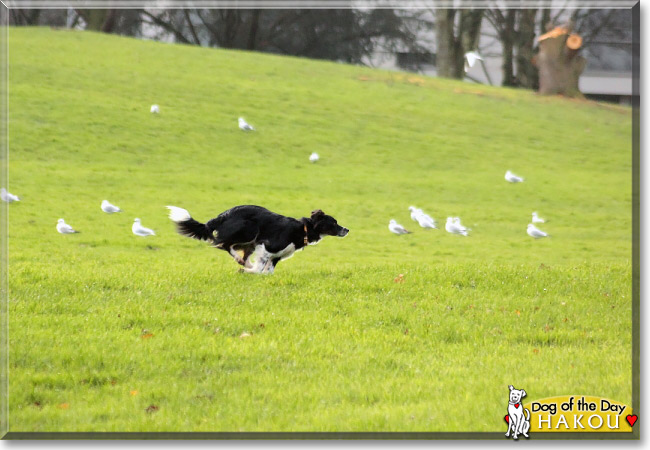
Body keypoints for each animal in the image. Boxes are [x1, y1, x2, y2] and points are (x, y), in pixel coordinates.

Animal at [167, 205, 350, 274]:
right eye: (334, 223)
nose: (347, 229)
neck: (303, 229)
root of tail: (222, 215)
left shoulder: (276, 256)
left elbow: (268, 271)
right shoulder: (268, 246)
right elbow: (260, 267)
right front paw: (247, 271)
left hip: (250, 241)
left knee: (237, 250)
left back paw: (245, 263)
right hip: (249, 230)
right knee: (225, 244)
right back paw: (242, 262)